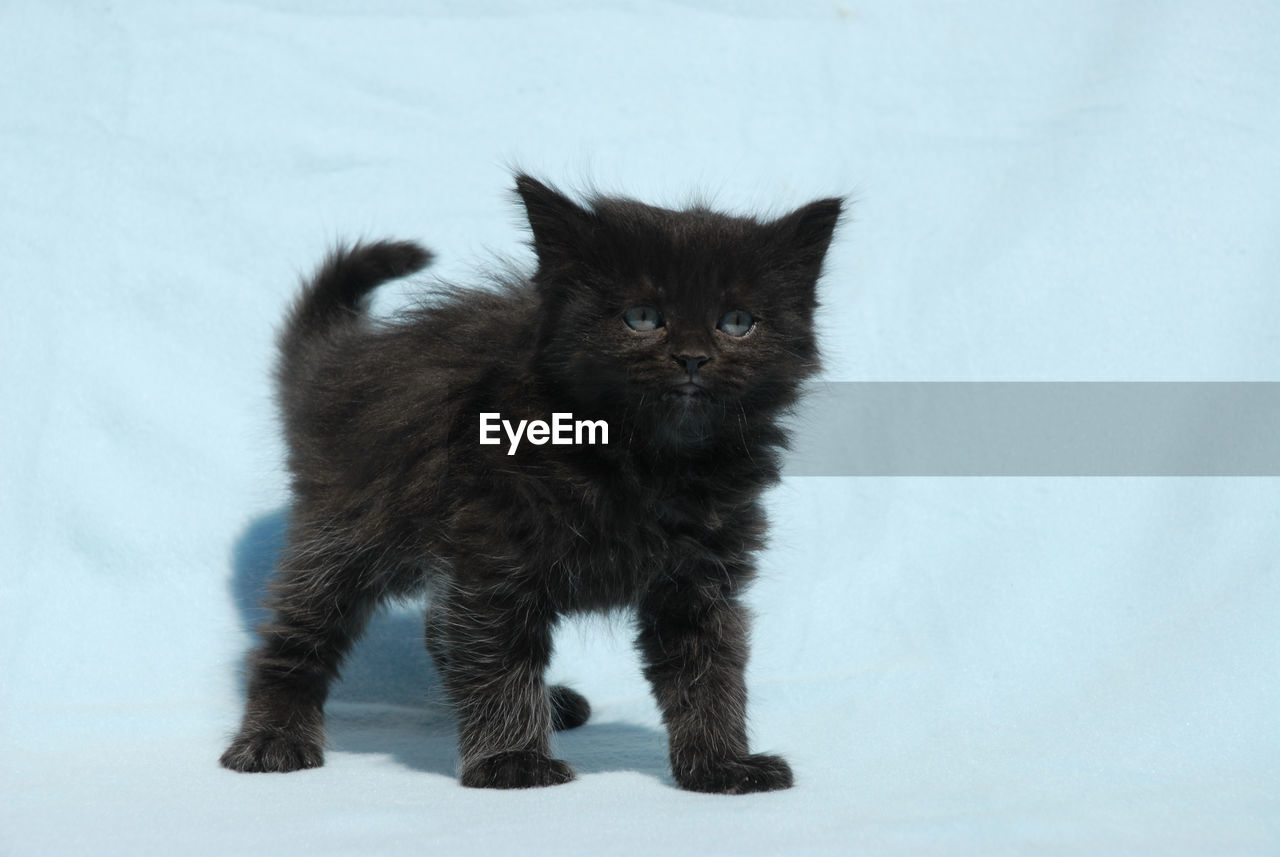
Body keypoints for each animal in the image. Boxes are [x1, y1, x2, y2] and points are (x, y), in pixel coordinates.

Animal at [222, 177, 839, 798]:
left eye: (736, 322)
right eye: (642, 317)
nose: (692, 358)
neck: (641, 460)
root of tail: (340, 363)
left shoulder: (701, 577)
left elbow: (710, 671)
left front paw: (720, 766)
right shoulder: (496, 558)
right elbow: (497, 658)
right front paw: (512, 761)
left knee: (439, 624)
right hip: (349, 531)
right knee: (299, 631)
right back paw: (273, 738)